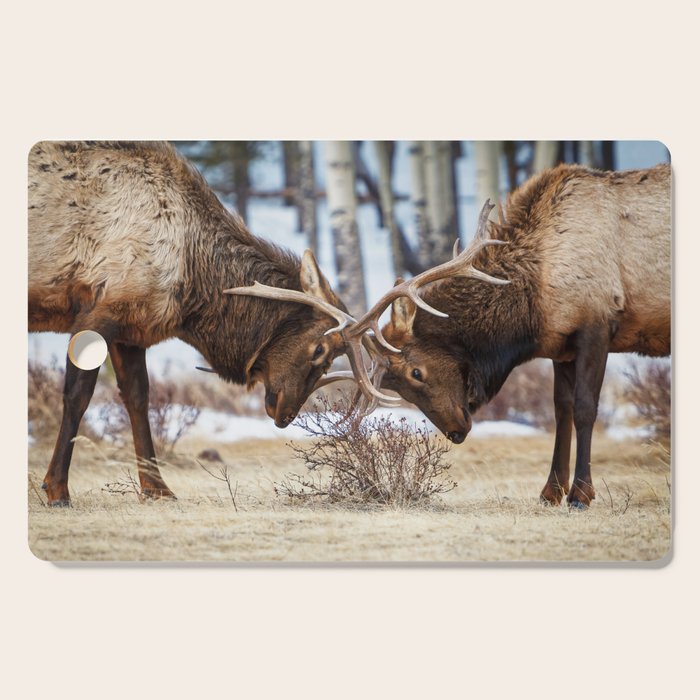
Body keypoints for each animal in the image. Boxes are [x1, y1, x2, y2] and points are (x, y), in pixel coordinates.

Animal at [28, 141, 358, 506]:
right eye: (320, 349)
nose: (286, 415)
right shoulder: (97, 313)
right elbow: (77, 396)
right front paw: (57, 488)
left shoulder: (131, 329)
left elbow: (138, 399)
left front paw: (157, 488)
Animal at [334, 162, 671, 508]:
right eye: (394, 386)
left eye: (416, 372)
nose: (455, 432)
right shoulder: (563, 346)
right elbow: (561, 410)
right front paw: (551, 491)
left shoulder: (597, 325)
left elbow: (585, 408)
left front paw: (580, 494)